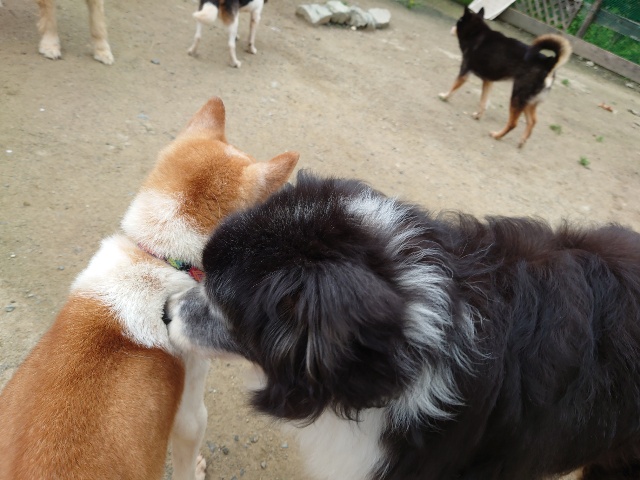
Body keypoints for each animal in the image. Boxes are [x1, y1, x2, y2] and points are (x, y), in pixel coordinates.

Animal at [439, 7, 572, 148]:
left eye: (459, 21)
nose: (451, 28)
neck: (476, 33)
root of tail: (548, 63)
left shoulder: (464, 71)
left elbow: (454, 86)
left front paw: (444, 96)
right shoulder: (488, 81)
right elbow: (483, 102)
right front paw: (478, 115)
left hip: (517, 96)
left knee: (513, 123)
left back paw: (497, 135)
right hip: (528, 101)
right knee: (533, 121)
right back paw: (522, 141)